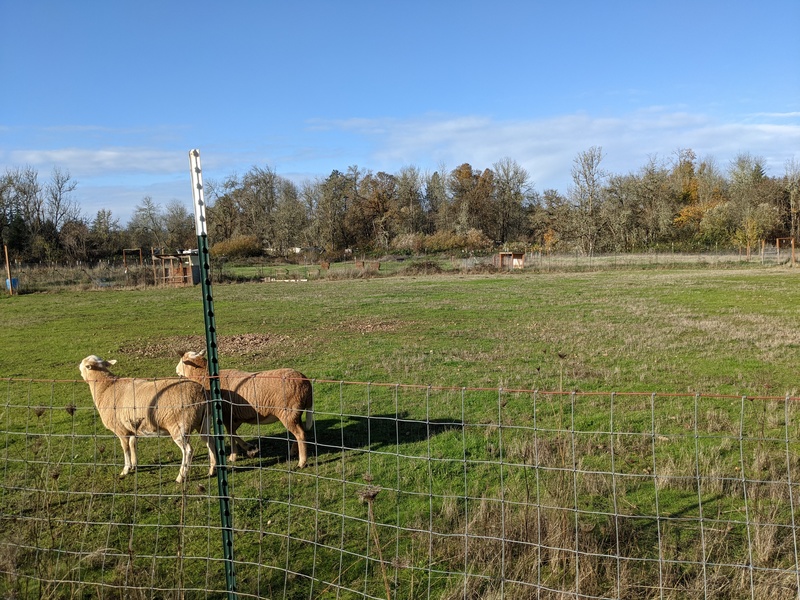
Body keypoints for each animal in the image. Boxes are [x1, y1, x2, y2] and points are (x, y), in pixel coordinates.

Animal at [78, 354, 217, 486]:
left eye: (84, 365)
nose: (79, 370)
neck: (105, 387)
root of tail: (201, 393)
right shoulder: (132, 428)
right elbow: (133, 444)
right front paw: (134, 465)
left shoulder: (121, 430)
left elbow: (125, 448)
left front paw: (125, 470)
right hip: (204, 421)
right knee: (210, 442)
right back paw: (212, 470)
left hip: (179, 426)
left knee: (188, 451)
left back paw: (181, 477)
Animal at [175, 352, 312, 468]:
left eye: (182, 360)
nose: (176, 371)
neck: (206, 378)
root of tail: (306, 383)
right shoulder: (235, 416)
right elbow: (233, 433)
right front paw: (249, 448)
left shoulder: (227, 414)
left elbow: (231, 434)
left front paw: (233, 456)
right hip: (295, 413)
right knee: (300, 431)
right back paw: (294, 451)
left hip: (288, 412)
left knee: (301, 434)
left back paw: (302, 462)